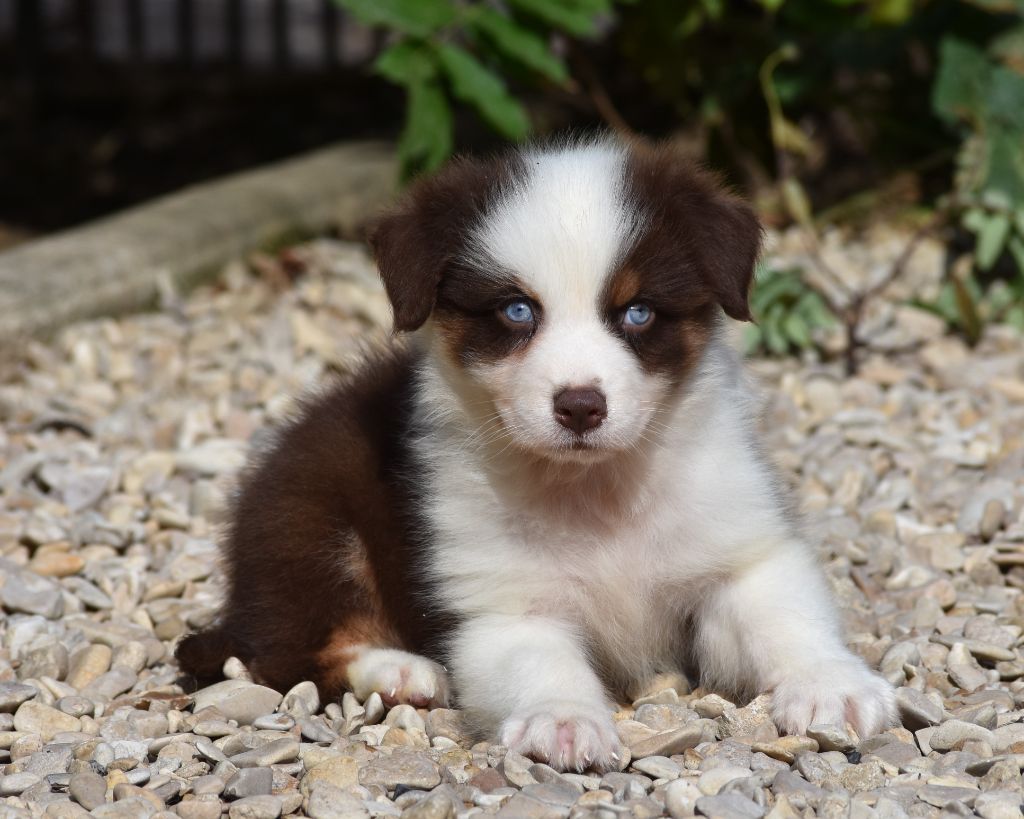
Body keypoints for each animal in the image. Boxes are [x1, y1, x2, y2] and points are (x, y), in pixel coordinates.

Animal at [178, 136, 897, 773]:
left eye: (638, 312)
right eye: (517, 310)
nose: (580, 406)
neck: (596, 487)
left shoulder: (738, 551)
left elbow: (783, 616)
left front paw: (831, 685)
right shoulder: (502, 606)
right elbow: (541, 663)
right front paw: (565, 720)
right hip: (310, 523)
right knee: (287, 652)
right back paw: (400, 670)